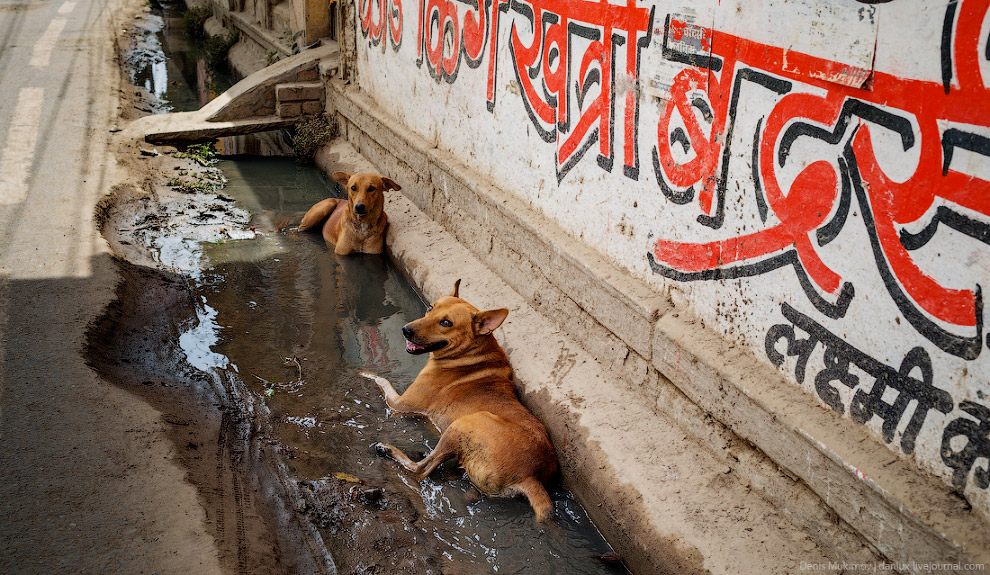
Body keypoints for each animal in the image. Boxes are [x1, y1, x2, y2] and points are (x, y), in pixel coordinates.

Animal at [360, 280, 560, 520]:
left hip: (463, 424)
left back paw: (388, 450)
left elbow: (383, 381)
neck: (471, 355)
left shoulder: (400, 405)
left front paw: (364, 373)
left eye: (446, 323)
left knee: (421, 470)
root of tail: (531, 477)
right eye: (430, 308)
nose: (406, 330)